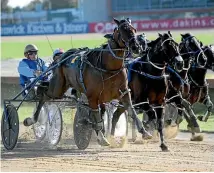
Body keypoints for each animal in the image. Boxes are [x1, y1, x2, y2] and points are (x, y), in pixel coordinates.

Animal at [23, 18, 152, 146]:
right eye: (123, 30)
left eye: (134, 29)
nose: (136, 47)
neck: (108, 67)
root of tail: (62, 57)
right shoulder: (93, 97)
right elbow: (97, 118)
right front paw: (102, 138)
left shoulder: (123, 93)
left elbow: (130, 110)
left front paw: (145, 132)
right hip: (58, 88)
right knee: (44, 95)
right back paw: (31, 119)